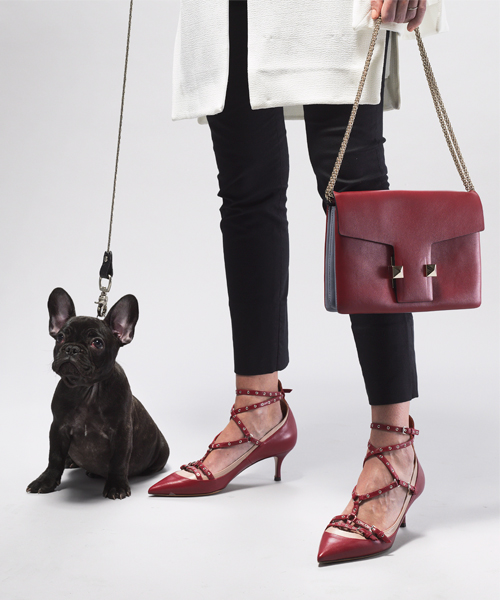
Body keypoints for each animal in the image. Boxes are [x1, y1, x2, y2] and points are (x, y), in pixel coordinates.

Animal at [27, 288, 169, 499]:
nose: (71, 348)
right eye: (60, 337)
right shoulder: (58, 428)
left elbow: (119, 460)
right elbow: (55, 457)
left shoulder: (122, 431)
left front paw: (116, 485)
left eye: (97, 343)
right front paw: (45, 481)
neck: (87, 390)